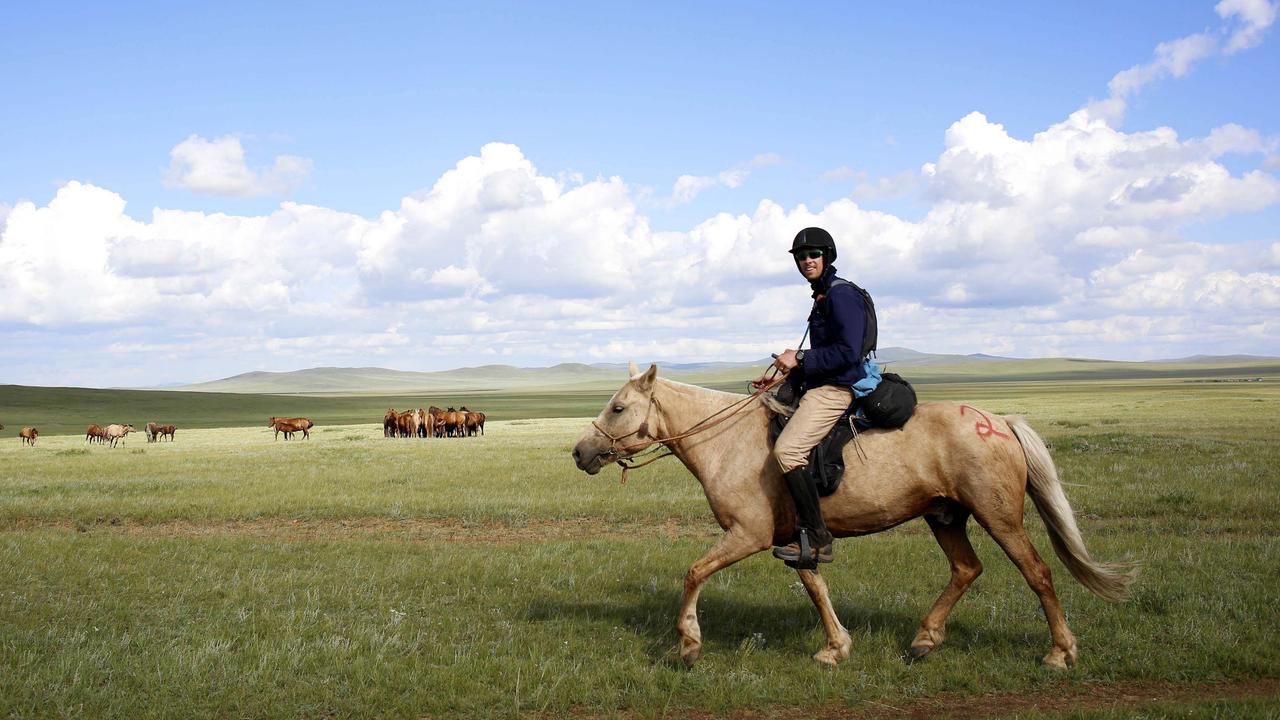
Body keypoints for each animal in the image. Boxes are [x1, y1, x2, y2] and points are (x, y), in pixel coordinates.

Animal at [576, 366, 1136, 671]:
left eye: (619, 407)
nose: (581, 453)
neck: (727, 441)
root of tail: (997, 420)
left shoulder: (748, 535)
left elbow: (694, 572)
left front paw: (689, 644)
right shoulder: (795, 537)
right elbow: (814, 585)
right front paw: (836, 648)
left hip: (998, 517)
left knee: (1037, 573)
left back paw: (1060, 652)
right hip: (945, 516)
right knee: (966, 569)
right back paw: (924, 640)